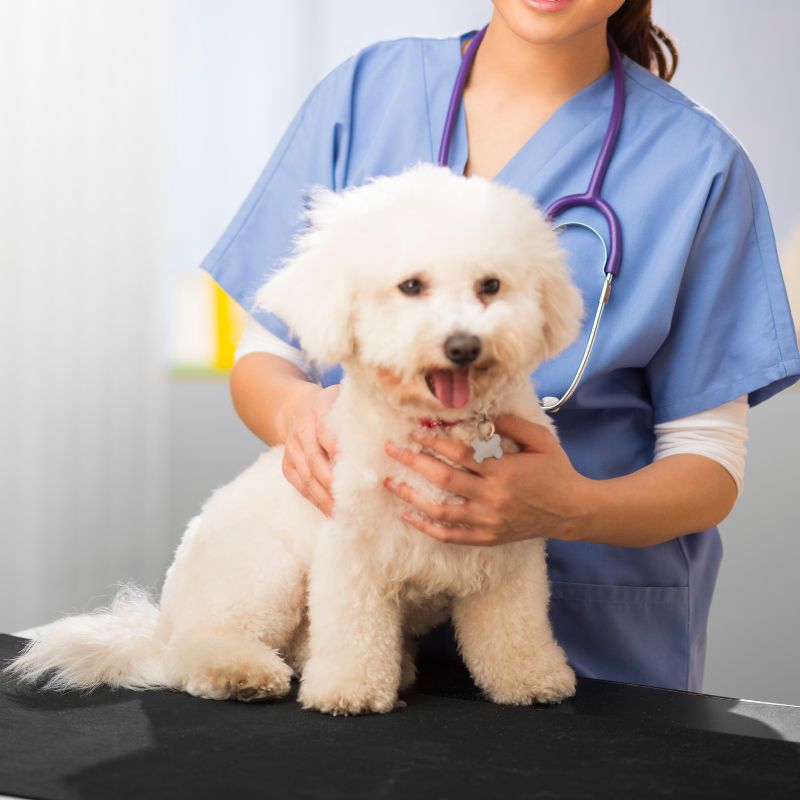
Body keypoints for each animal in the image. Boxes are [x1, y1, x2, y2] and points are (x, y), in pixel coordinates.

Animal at [6, 162, 584, 712]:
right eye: (411, 286)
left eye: (491, 285)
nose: (463, 345)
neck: (438, 425)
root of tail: (160, 624)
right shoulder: (352, 553)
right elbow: (353, 632)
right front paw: (350, 690)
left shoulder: (510, 555)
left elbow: (515, 631)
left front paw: (532, 679)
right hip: (266, 574)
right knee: (200, 647)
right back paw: (241, 674)